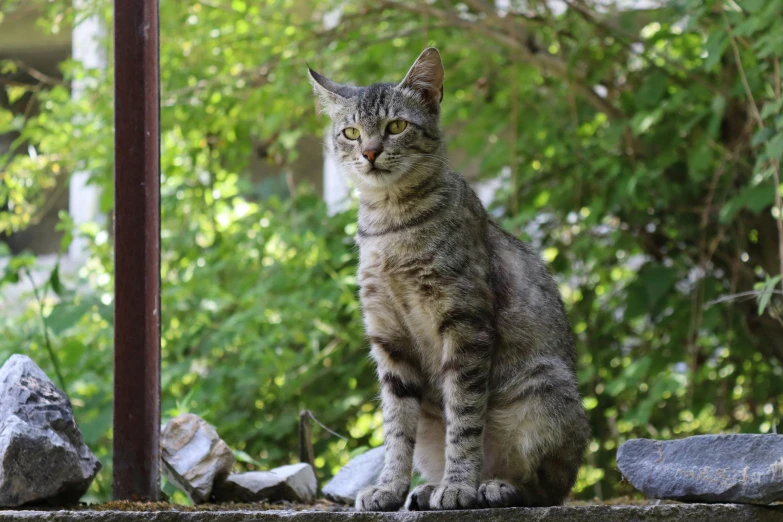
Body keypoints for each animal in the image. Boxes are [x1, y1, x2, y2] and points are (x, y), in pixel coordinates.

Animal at [306, 46, 588, 510]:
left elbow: (465, 417)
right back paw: (428, 488)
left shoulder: (465, 325)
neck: (389, 223)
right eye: (350, 132)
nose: (369, 152)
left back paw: (493, 486)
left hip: (545, 385)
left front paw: (458, 485)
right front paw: (390, 487)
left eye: (396, 126)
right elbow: (396, 430)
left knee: (549, 488)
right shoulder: (389, 339)